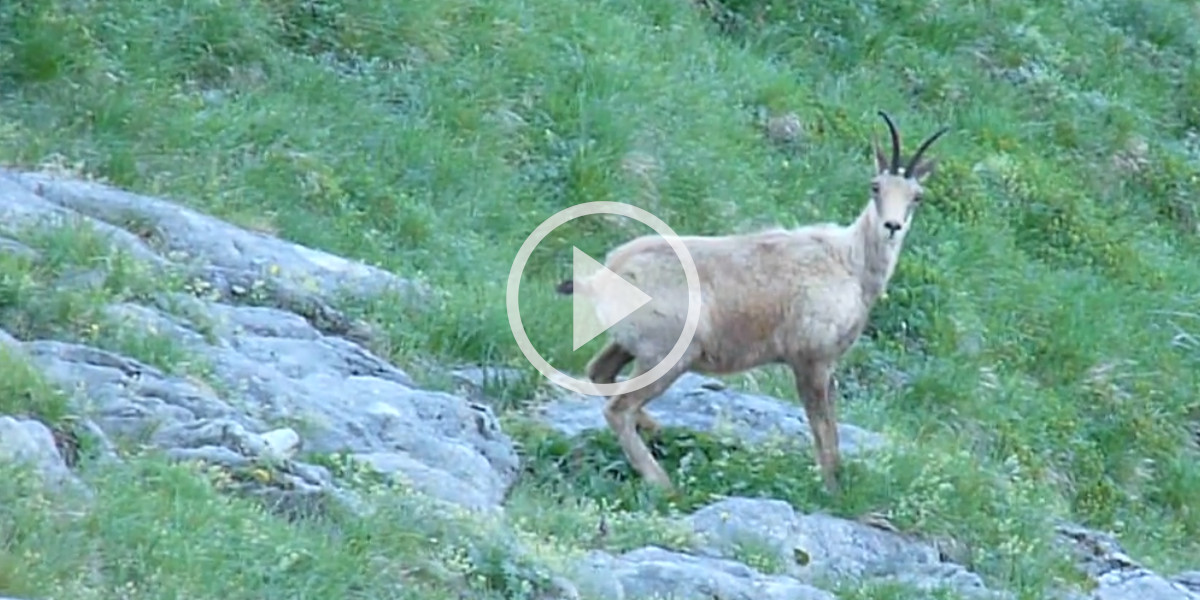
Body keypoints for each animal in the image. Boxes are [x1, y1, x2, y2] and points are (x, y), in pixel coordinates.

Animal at [556, 110, 950, 494]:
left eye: (917, 196)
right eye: (875, 186)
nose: (892, 226)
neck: (849, 261)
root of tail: (606, 273)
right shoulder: (811, 359)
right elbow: (822, 426)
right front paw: (832, 488)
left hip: (630, 346)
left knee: (600, 372)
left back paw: (655, 428)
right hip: (669, 355)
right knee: (618, 408)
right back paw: (664, 483)